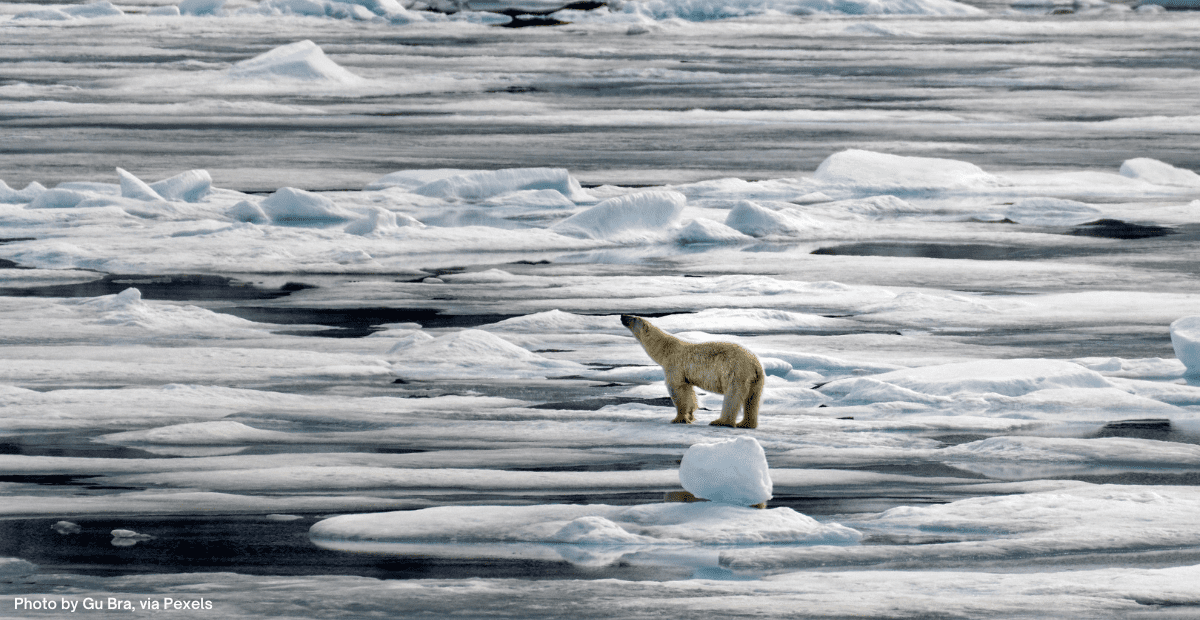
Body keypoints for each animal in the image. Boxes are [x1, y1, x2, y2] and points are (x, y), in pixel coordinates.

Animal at [624, 311, 763, 426]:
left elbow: (678, 390)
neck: (666, 349)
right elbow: (689, 392)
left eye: (633, 318)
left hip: (735, 372)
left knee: (732, 396)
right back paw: (746, 424)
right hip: (756, 380)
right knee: (752, 399)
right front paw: (690, 415)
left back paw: (721, 422)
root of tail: (755, 364)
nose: (622, 316)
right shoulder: (684, 373)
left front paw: (679, 419)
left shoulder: (675, 366)